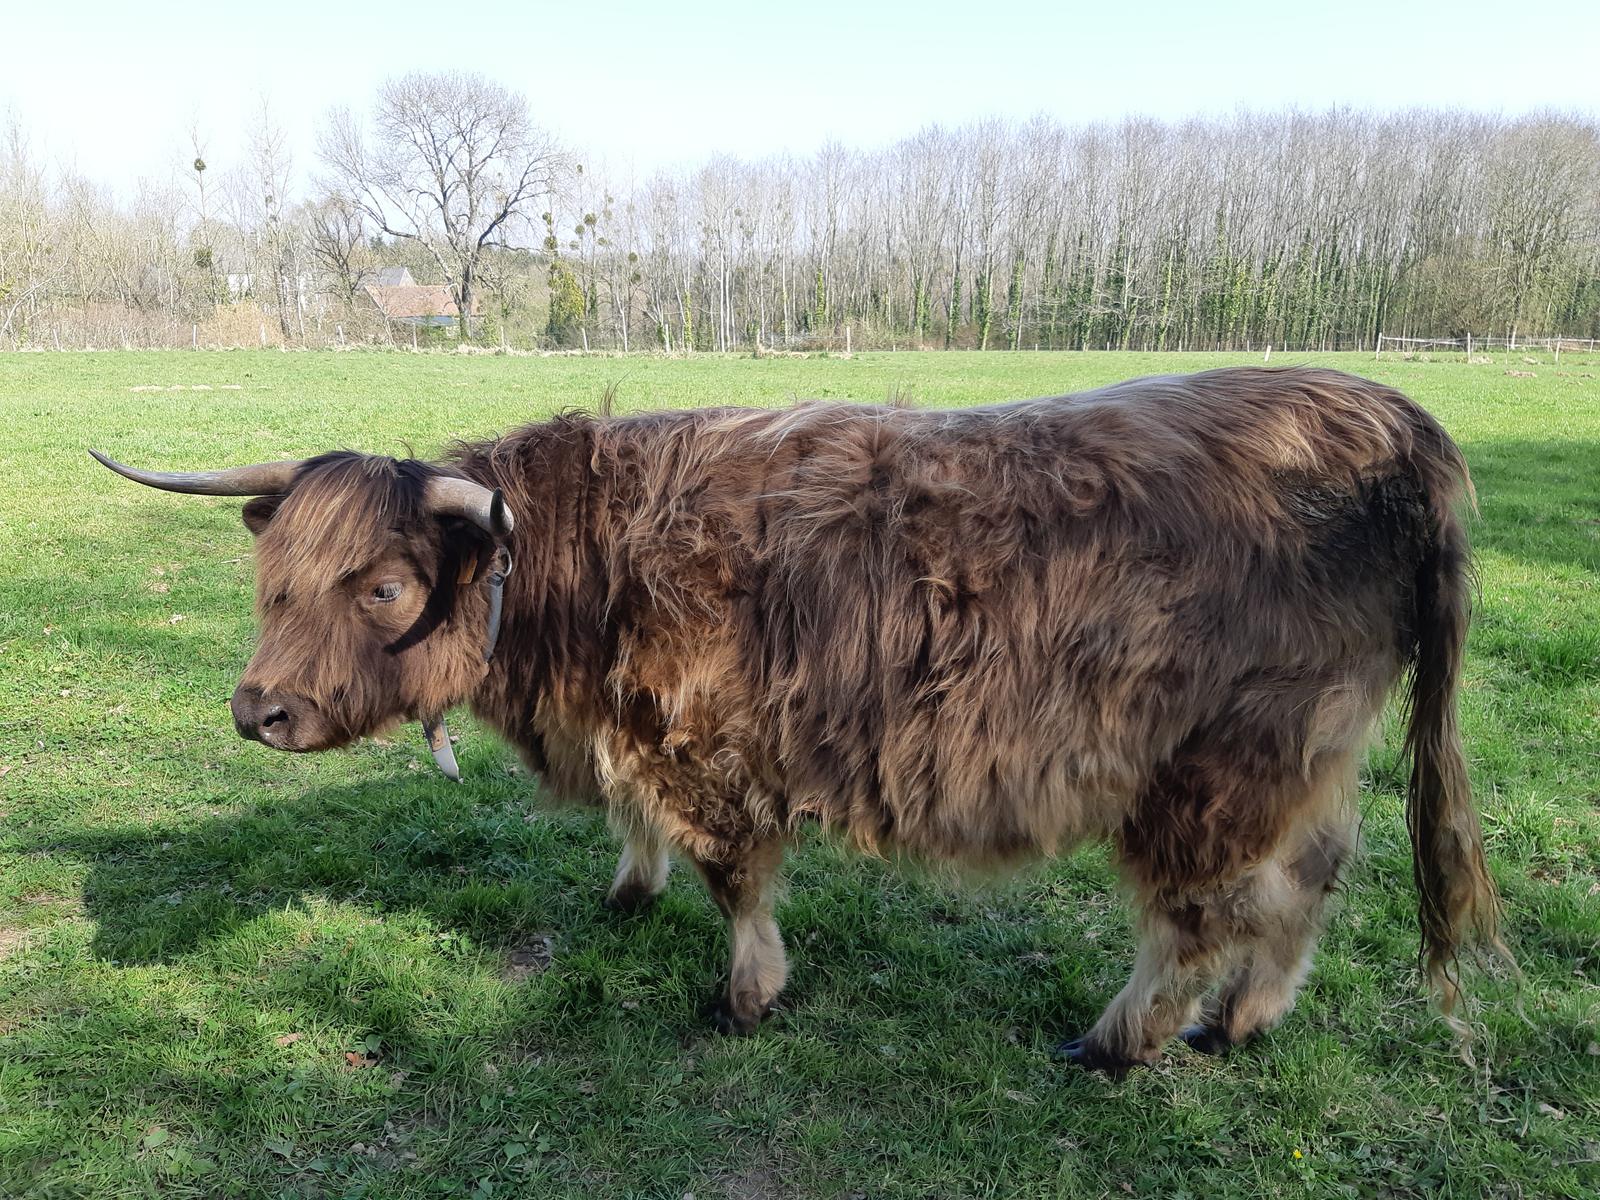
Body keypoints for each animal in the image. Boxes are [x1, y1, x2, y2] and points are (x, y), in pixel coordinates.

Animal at [92, 366, 1503, 1071]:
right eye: (271, 581)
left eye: (382, 586)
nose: (259, 711)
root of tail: (1396, 419)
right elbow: (641, 835)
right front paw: (626, 891)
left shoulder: (708, 744)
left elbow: (736, 878)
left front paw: (745, 997)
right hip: (1310, 754)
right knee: (1310, 879)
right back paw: (1248, 1024)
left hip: (1214, 765)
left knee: (1199, 913)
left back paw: (1119, 1042)